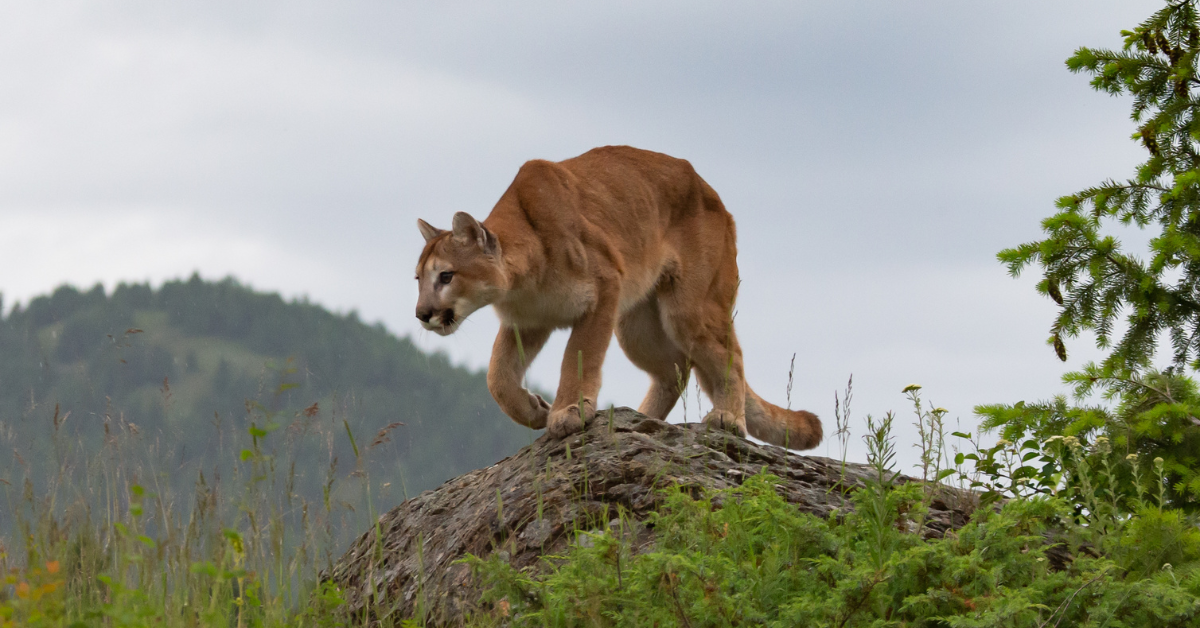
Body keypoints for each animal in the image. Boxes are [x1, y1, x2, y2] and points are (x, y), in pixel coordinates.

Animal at [413, 145, 821, 449]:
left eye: (446, 276)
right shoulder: (527, 321)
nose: (421, 314)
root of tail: (719, 201)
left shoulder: (604, 288)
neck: (521, 279)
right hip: (636, 327)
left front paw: (568, 411)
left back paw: (728, 418)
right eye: (417, 278)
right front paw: (533, 410)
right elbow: (497, 377)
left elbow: (580, 354)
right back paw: (643, 420)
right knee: (676, 368)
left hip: (689, 310)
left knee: (729, 355)